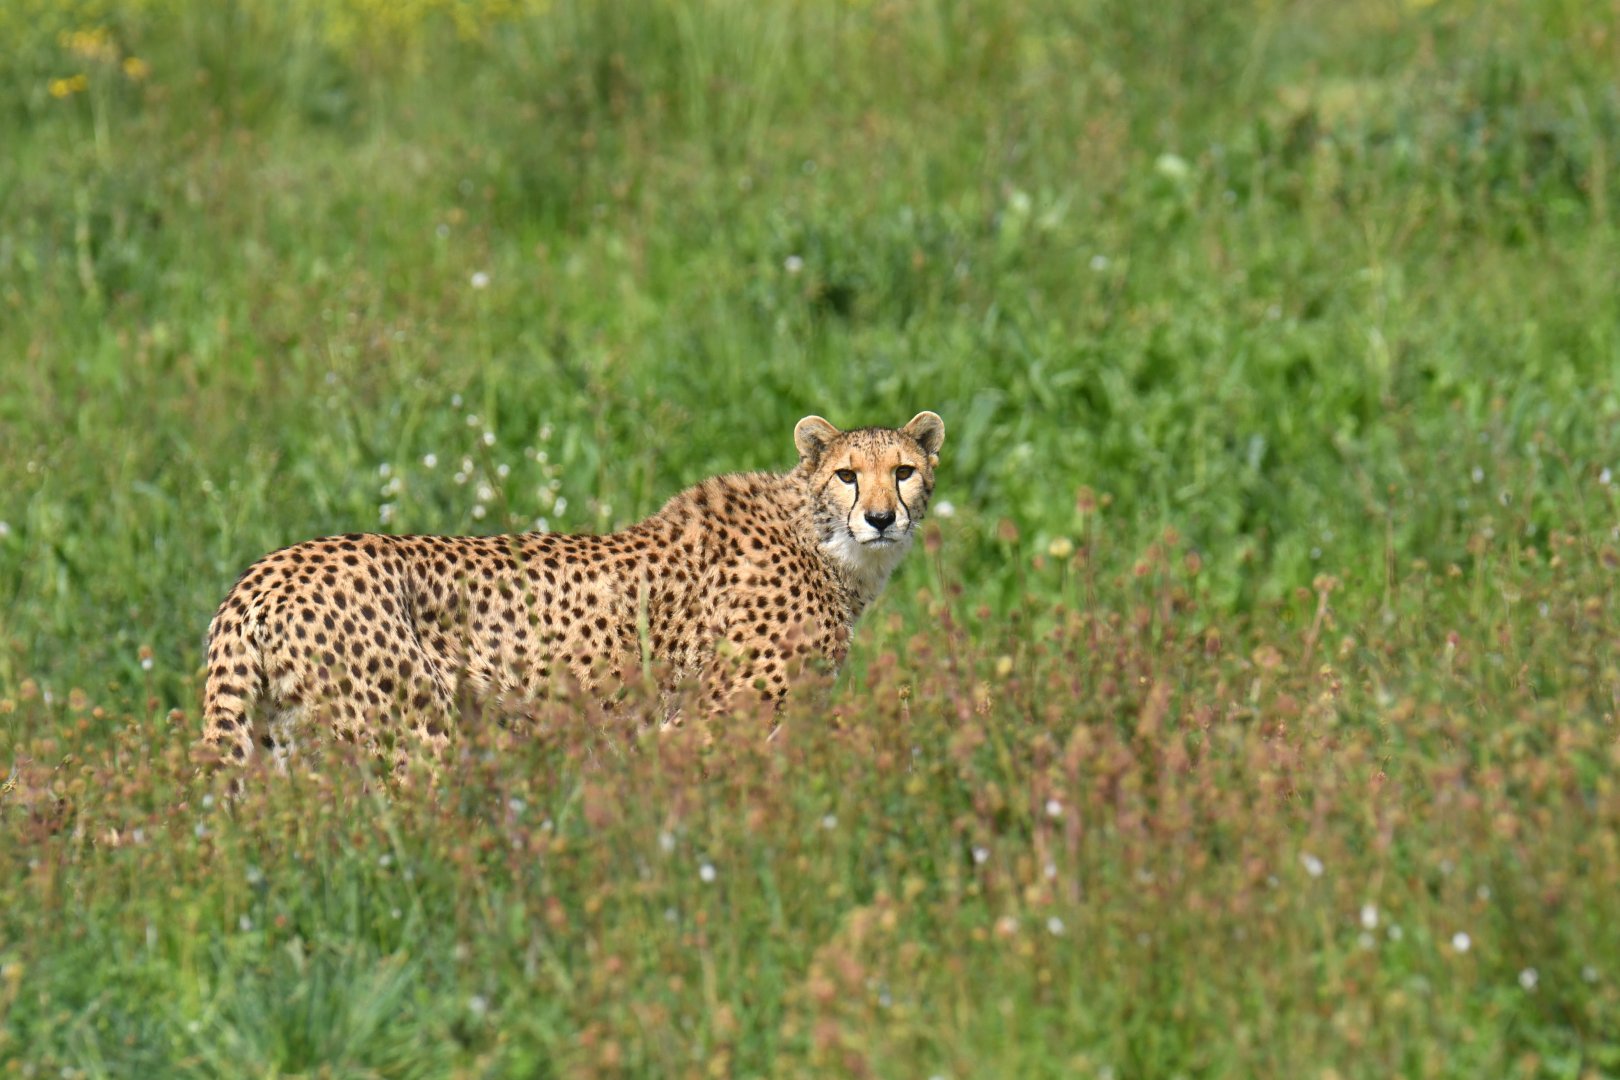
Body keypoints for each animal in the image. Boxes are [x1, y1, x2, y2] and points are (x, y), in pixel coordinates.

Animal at [200, 411, 945, 771]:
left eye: (904, 471)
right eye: (847, 475)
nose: (882, 518)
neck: (824, 542)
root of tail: (269, 568)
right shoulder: (711, 720)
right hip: (410, 734)